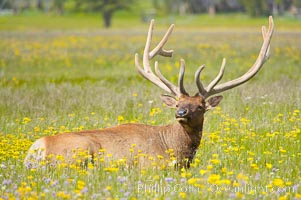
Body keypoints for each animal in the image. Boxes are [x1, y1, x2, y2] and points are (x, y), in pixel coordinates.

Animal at [24, 16, 274, 169]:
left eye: (200, 106)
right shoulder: (150, 165)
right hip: (79, 153)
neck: (176, 150)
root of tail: (38, 149)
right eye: (177, 103)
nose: (181, 113)